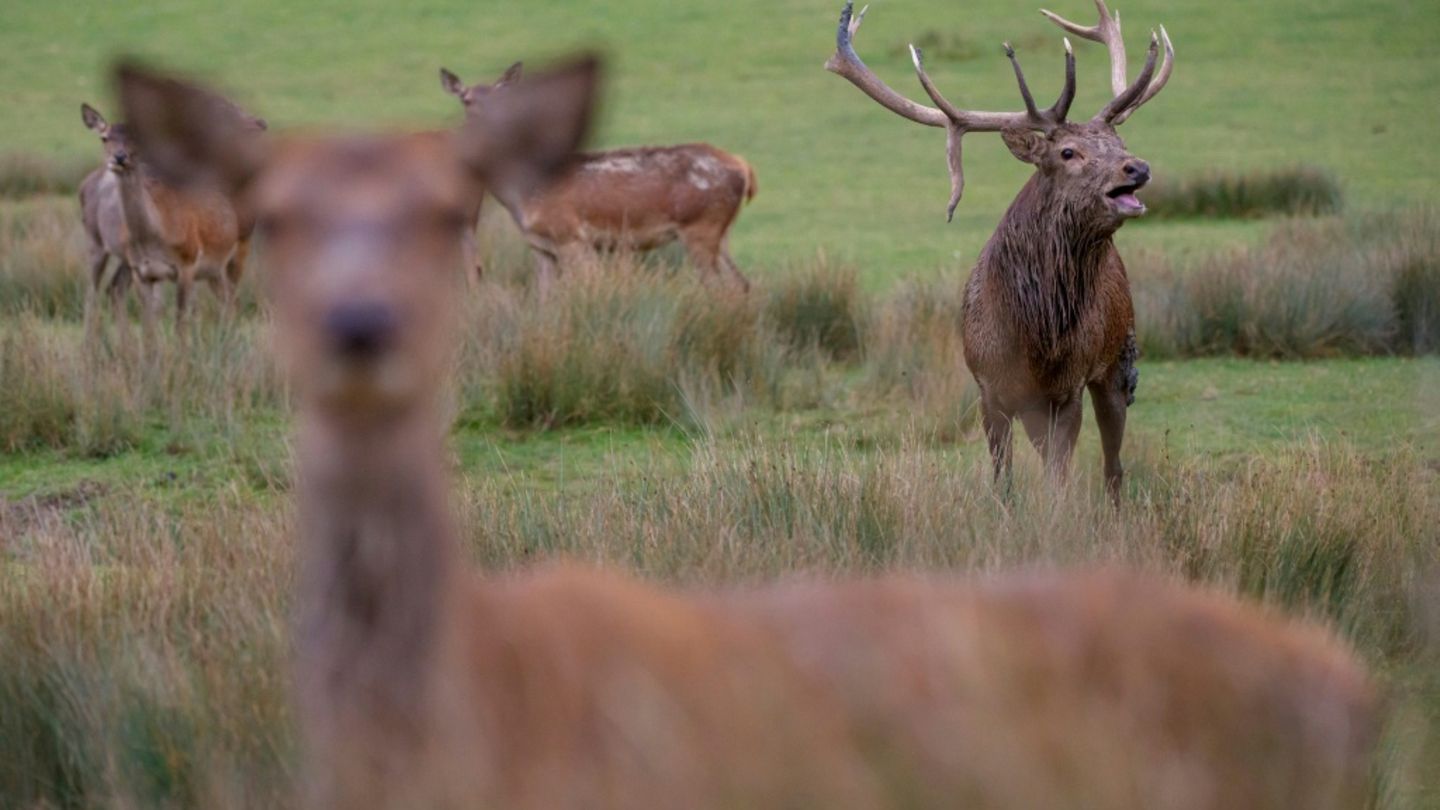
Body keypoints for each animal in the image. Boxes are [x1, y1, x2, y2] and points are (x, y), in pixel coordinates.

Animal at [80, 99, 264, 345]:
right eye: (104, 137)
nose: (119, 157)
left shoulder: (188, 264)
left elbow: (179, 320)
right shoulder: (147, 271)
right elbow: (157, 324)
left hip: (234, 249)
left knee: (229, 302)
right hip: (95, 242)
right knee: (95, 294)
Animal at [440, 63, 755, 293]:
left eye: (503, 99)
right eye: (466, 99)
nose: (489, 127)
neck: (522, 196)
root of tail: (744, 168)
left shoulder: (571, 236)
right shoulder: (540, 246)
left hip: (701, 226)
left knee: (722, 290)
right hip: (721, 232)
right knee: (742, 285)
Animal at [827, 0, 1172, 502]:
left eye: (1120, 143)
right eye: (1068, 152)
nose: (1138, 166)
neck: (1036, 338)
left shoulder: (1068, 387)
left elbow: (1057, 478)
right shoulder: (989, 388)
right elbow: (1003, 480)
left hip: (1118, 362)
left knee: (1114, 466)